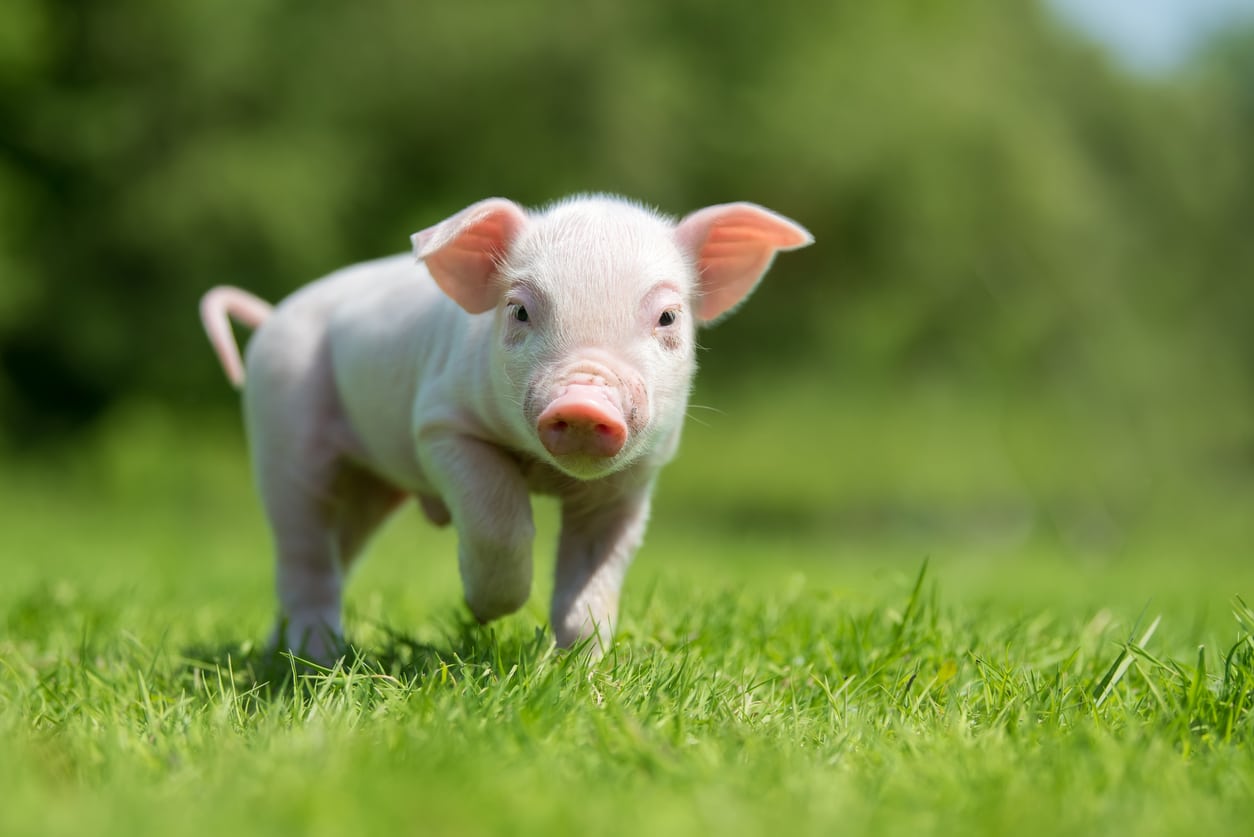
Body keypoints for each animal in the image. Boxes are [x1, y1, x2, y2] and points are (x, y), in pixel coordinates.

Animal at [200, 194, 812, 663]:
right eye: (519, 311)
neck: (547, 474)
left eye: (668, 317)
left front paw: (585, 669)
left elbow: (593, 577)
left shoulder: (635, 479)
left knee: (335, 552)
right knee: (301, 552)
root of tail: (272, 315)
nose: (585, 401)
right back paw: (316, 658)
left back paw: (283, 650)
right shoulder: (442, 425)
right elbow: (500, 520)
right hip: (283, 435)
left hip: (368, 487)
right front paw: (485, 613)